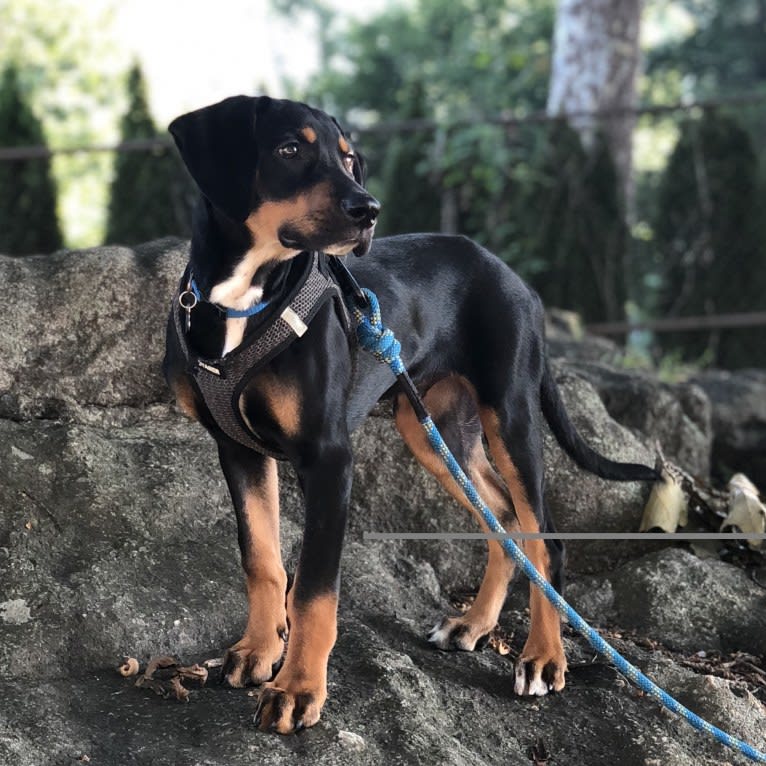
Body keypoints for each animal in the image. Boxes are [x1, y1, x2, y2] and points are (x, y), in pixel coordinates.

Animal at [164, 96, 660, 736]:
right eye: (289, 150)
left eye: (350, 159)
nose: (368, 210)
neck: (244, 299)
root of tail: (514, 278)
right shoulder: (239, 449)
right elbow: (263, 560)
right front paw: (259, 652)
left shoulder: (329, 459)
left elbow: (314, 590)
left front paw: (298, 689)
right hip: (434, 428)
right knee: (502, 517)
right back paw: (473, 624)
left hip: (510, 416)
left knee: (544, 536)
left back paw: (544, 658)